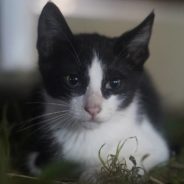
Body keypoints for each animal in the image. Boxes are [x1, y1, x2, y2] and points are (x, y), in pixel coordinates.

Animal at [24, 1, 170, 181]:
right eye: (73, 80)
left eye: (114, 83)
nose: (92, 108)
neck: (88, 135)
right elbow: (40, 164)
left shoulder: (157, 147)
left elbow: (134, 163)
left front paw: (94, 173)